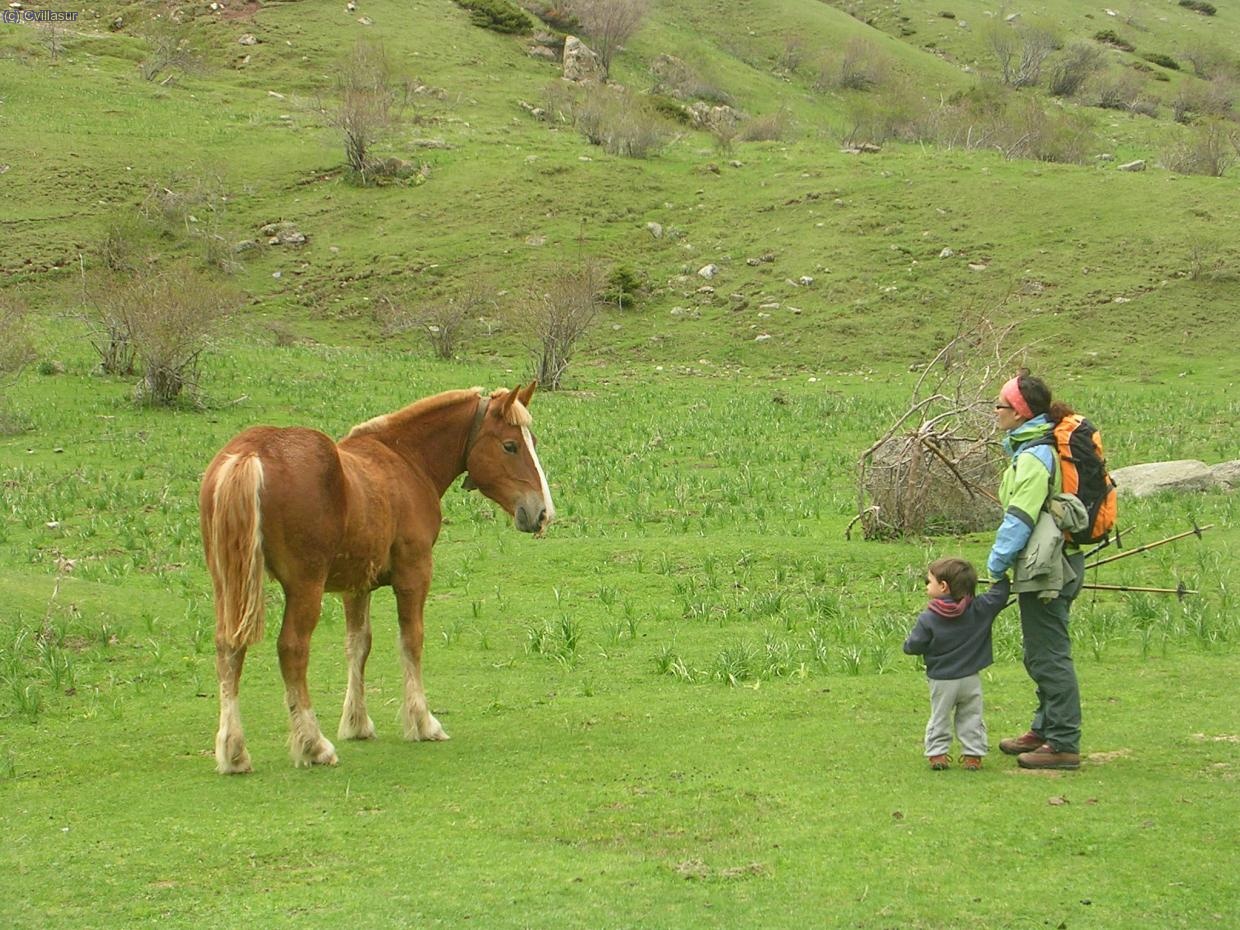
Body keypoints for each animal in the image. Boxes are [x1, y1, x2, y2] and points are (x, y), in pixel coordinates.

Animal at [199, 383, 554, 773]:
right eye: (511, 445)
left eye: (533, 440)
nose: (542, 512)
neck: (406, 461)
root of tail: (249, 454)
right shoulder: (414, 574)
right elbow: (411, 641)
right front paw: (423, 722)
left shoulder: (356, 587)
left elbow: (358, 645)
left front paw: (357, 723)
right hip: (304, 587)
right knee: (292, 649)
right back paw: (313, 745)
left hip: (229, 586)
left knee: (229, 647)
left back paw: (233, 751)